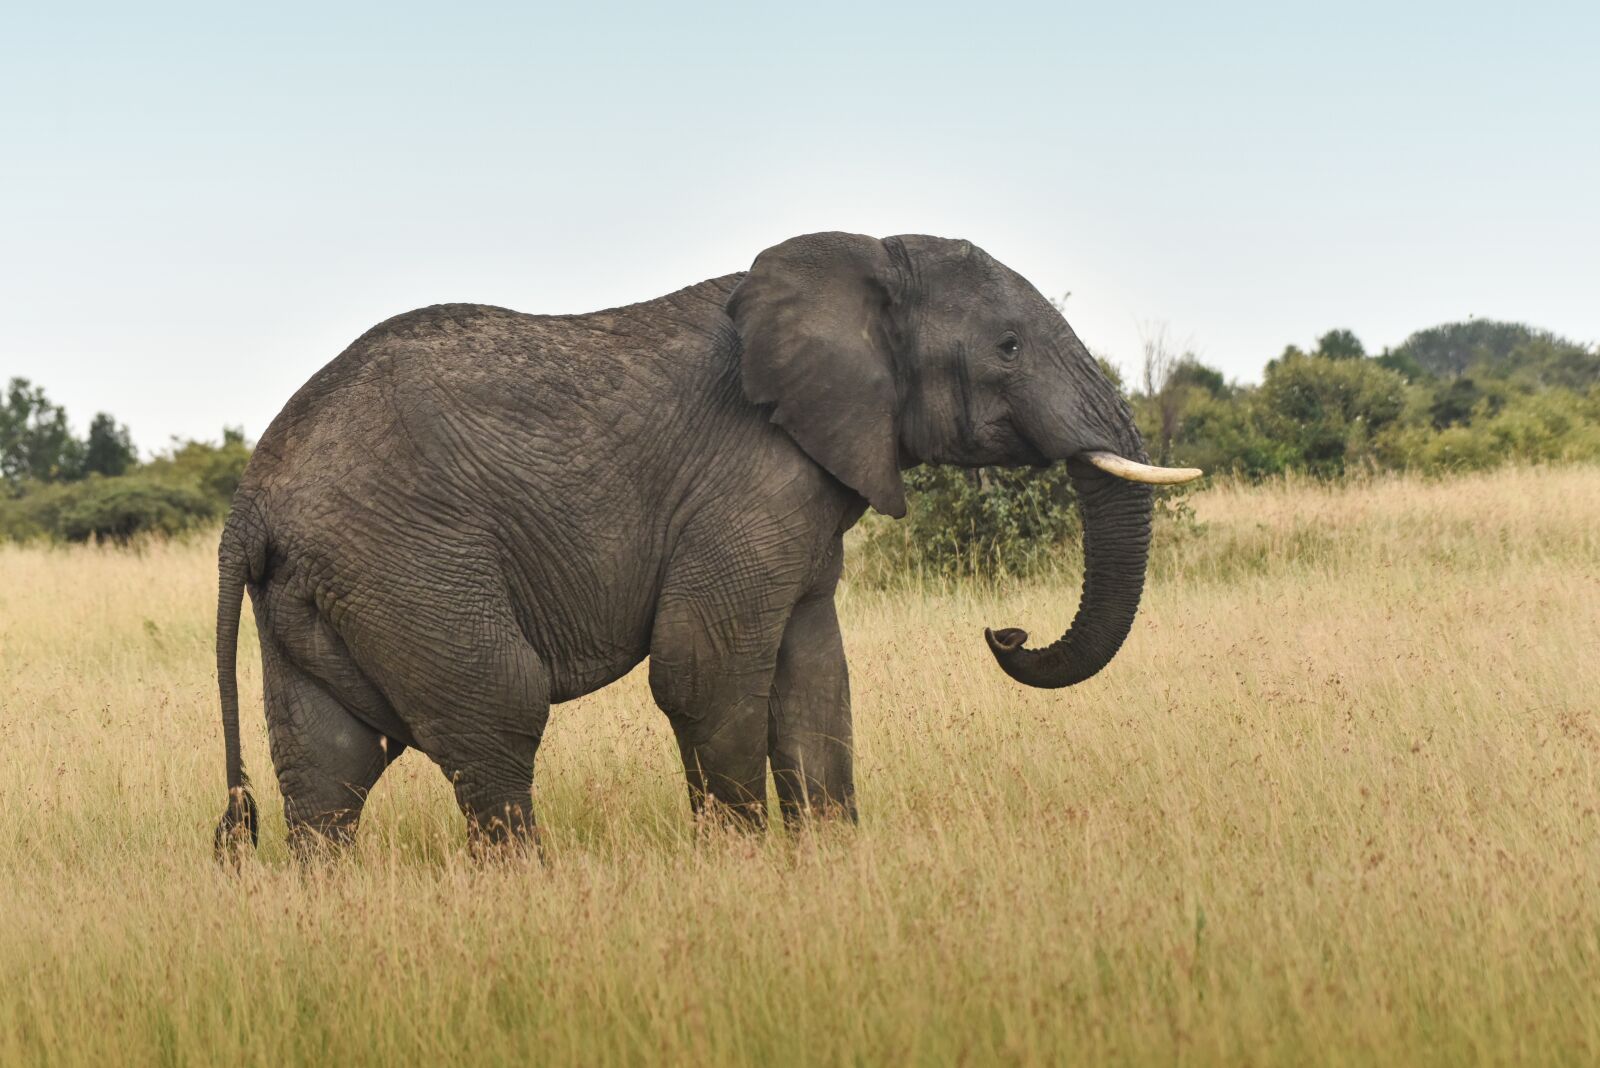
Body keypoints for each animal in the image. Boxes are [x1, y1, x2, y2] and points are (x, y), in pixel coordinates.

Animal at [212, 231, 1200, 858]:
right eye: (1008, 348)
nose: (1005, 632)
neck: (865, 256)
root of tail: (248, 506)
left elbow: (816, 678)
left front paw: (831, 862)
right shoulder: (747, 479)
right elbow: (704, 670)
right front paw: (741, 867)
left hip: (324, 585)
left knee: (327, 768)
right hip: (410, 561)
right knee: (498, 715)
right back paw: (530, 893)